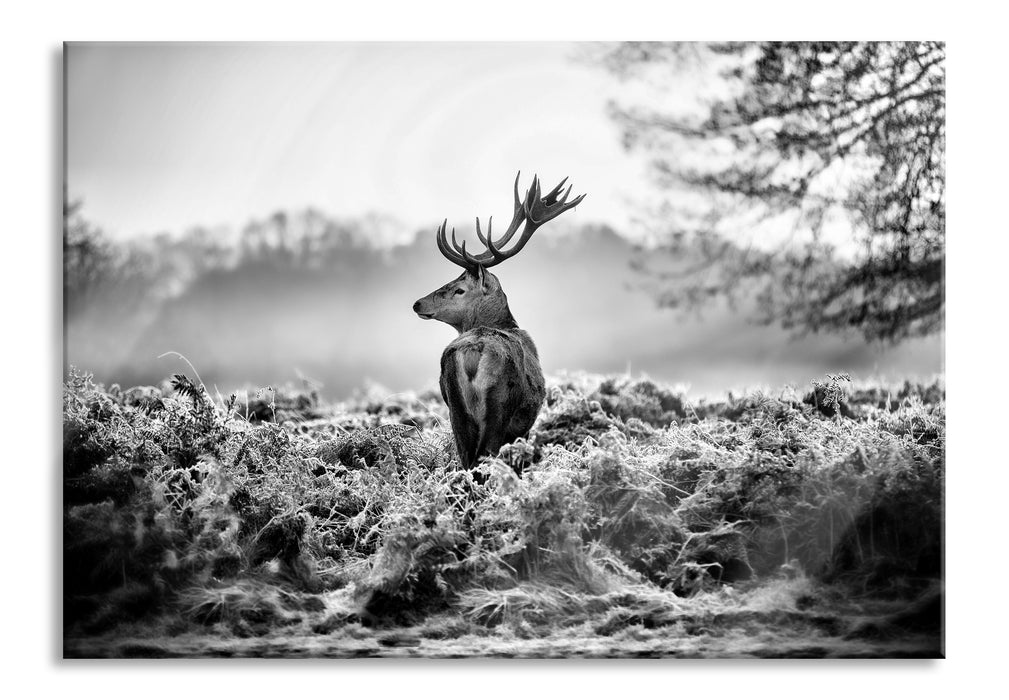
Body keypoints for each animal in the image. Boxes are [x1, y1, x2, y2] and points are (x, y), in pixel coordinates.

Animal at [411, 172, 585, 480]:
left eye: (458, 289)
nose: (418, 303)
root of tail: (472, 351)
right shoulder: (522, 427)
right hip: (499, 407)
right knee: (484, 459)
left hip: (456, 409)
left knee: (467, 459)